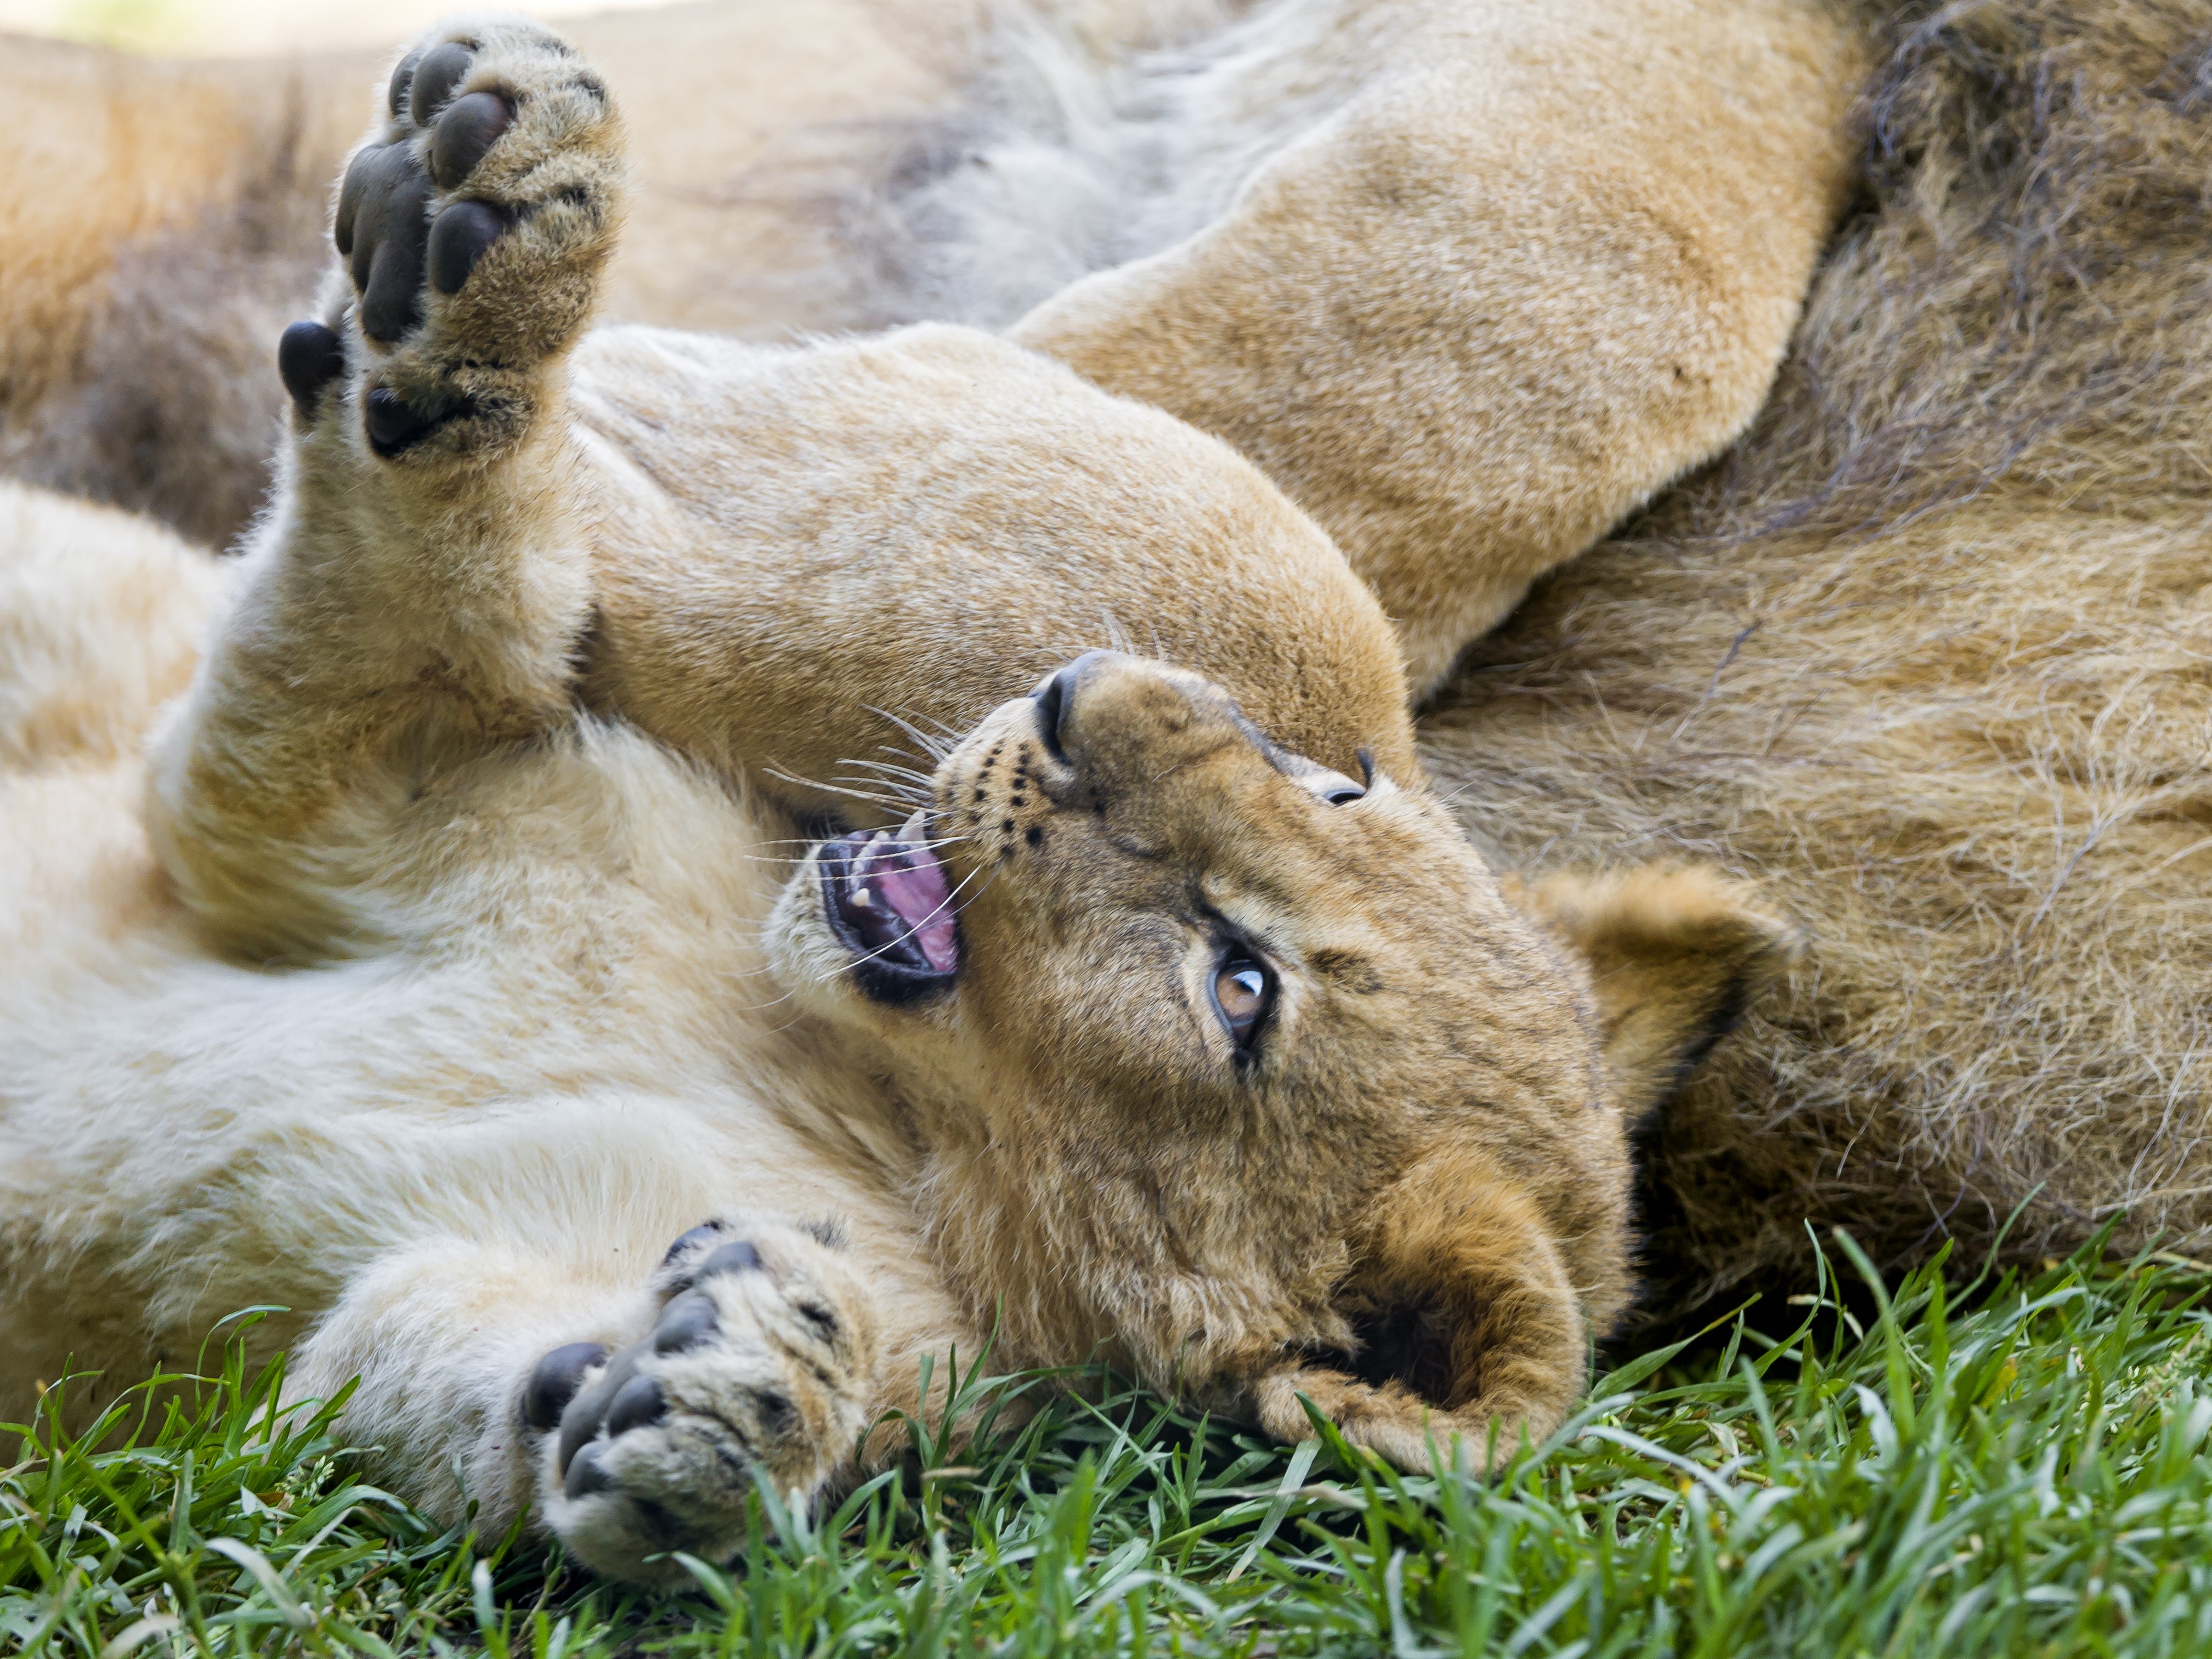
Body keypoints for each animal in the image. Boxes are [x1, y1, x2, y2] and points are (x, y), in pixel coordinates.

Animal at [0, 10, 1800, 1585]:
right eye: (1335, 783)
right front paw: (492, 223)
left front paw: (731, 1403)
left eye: (1241, 987)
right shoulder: (338, 794)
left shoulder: (346, 942)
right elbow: (434, 547)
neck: (855, 1103)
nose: (1079, 696)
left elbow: (447, 1404)